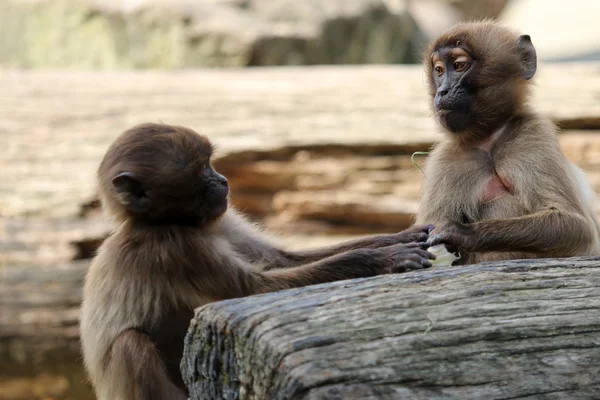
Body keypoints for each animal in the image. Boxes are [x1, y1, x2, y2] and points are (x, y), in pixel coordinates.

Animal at [81, 122, 436, 400]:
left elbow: (280, 259)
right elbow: (253, 288)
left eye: (209, 163)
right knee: (130, 344)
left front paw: (398, 238)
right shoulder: (175, 247)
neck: (164, 222)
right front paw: (383, 258)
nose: (223, 181)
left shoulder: (223, 220)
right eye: (201, 169)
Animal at [414, 21, 600, 266]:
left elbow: (575, 226)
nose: (442, 91)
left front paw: (462, 233)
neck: (488, 140)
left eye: (459, 65)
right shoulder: (446, 159)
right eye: (439, 71)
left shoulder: (532, 132)